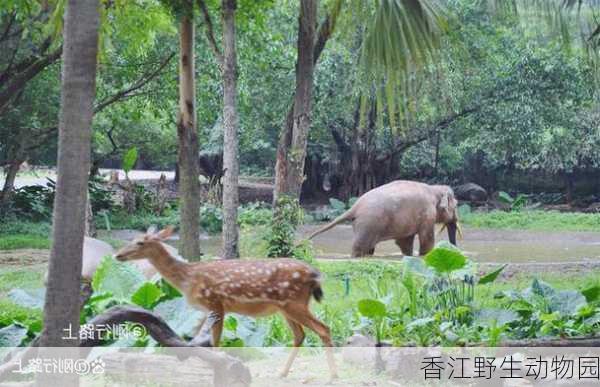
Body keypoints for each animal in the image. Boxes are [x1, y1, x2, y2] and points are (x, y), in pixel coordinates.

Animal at [113, 226, 338, 380]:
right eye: (133, 239)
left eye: (141, 242)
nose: (118, 255)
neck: (187, 278)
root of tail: (315, 275)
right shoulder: (207, 309)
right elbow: (201, 337)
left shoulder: (215, 302)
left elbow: (215, 340)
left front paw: (216, 366)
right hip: (285, 308)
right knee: (300, 335)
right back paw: (282, 373)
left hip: (293, 303)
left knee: (323, 328)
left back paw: (333, 376)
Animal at [308, 181, 462, 258]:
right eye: (456, 205)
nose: (456, 250)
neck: (434, 189)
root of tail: (355, 206)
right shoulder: (427, 213)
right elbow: (426, 238)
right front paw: (425, 256)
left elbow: (404, 241)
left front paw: (409, 256)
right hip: (369, 223)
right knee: (360, 247)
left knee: (368, 248)